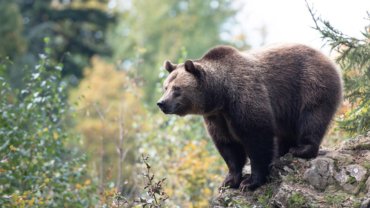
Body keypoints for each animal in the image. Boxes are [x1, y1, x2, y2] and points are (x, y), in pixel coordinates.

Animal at [158, 43, 342, 190]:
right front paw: (229, 181)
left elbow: (257, 138)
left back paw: (301, 149)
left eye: (177, 89)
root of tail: (327, 57)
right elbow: (228, 146)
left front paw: (250, 182)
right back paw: (282, 151)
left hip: (311, 84)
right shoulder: (217, 118)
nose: (161, 103)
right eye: (165, 87)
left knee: (312, 117)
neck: (221, 96)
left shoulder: (244, 98)